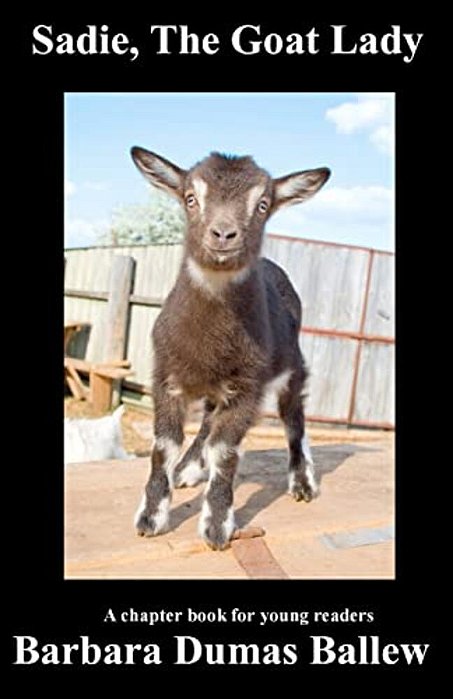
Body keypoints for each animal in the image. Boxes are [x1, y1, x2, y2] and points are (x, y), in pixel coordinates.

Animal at [131, 147, 330, 550]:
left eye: (263, 204)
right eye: (191, 198)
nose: (223, 234)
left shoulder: (247, 387)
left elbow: (226, 452)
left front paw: (217, 526)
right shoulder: (166, 377)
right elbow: (164, 446)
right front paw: (151, 517)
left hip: (291, 367)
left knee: (294, 417)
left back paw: (302, 481)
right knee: (208, 420)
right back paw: (188, 468)